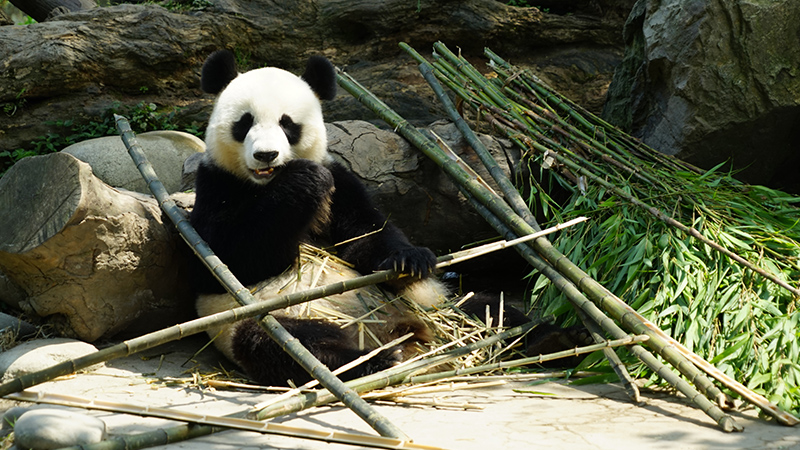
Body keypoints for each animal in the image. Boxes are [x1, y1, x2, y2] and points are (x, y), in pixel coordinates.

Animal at [190, 50, 452, 386]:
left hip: (419, 302)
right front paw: (305, 180)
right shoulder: (215, 184)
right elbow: (227, 258)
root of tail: (391, 331)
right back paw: (375, 361)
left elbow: (366, 233)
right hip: (266, 320)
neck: (265, 184)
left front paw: (409, 261)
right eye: (244, 123)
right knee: (286, 346)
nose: (266, 155)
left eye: (288, 124)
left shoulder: (341, 184)